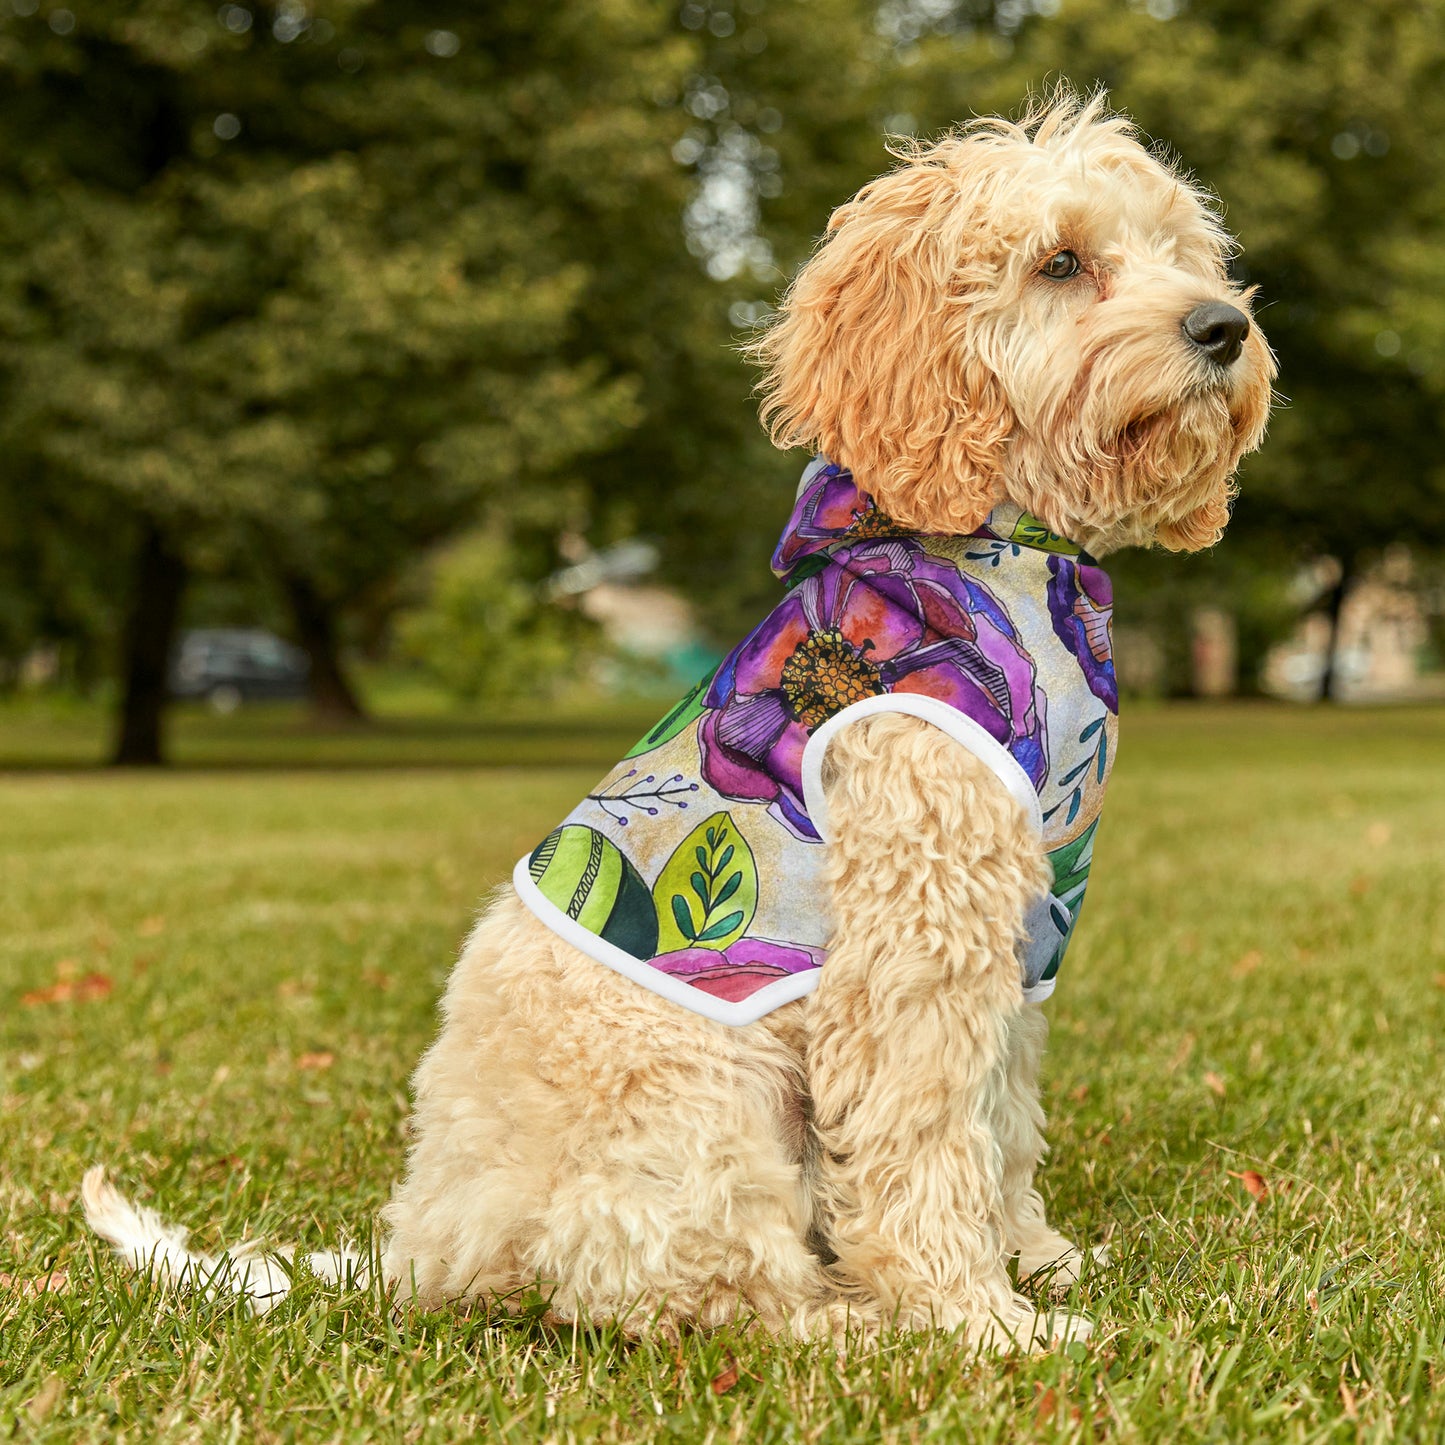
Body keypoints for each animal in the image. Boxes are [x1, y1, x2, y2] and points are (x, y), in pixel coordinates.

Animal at [84, 93, 1271, 1352]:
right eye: (1060, 262)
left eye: (1181, 253)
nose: (1222, 327)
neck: (1009, 556)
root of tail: (424, 1247)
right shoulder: (913, 937)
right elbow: (924, 1135)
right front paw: (976, 1318)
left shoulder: (1019, 934)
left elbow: (999, 1119)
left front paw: (1034, 1259)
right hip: (704, 1099)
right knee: (699, 1291)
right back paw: (852, 1322)